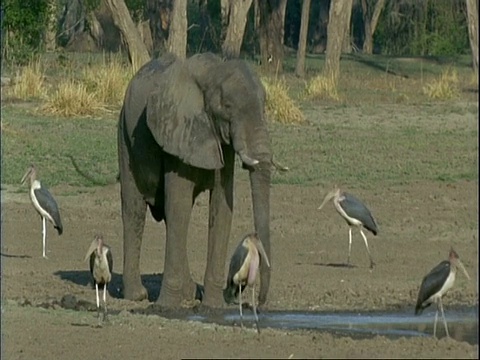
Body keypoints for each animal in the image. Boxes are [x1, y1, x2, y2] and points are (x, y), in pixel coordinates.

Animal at [117, 52, 272, 308]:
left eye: (264, 107)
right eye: (227, 107)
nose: (258, 303)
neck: (213, 71)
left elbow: (222, 207)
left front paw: (213, 306)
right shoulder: (180, 132)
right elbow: (178, 205)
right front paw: (166, 307)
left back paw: (189, 294)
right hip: (124, 136)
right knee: (134, 208)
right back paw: (137, 296)